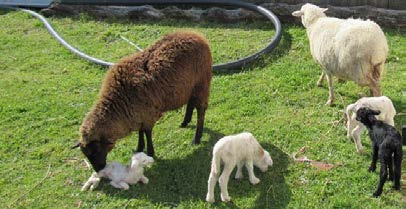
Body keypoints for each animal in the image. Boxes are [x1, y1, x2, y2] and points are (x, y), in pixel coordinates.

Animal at [74, 31, 213, 171]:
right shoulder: (139, 114)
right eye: (86, 154)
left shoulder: (148, 114)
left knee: (201, 109)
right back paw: (185, 122)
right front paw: (139, 148)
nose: (99, 169)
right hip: (189, 88)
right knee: (191, 103)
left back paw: (197, 138)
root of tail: (197, 35)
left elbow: (147, 133)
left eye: (95, 150)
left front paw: (150, 152)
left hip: (202, 83)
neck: (119, 102)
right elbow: (140, 132)